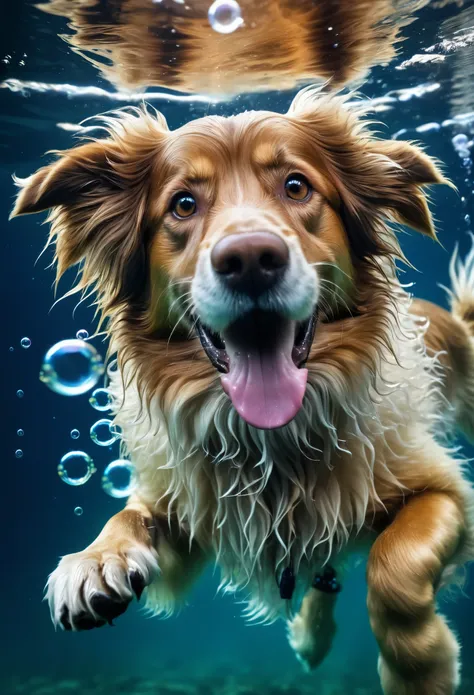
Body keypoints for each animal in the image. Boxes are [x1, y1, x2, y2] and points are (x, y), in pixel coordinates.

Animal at [9, 88, 474, 695]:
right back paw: (310, 636)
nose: (251, 258)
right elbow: (129, 515)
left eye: (296, 186)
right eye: (183, 204)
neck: (272, 439)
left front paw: (421, 667)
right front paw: (93, 561)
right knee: (324, 571)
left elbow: (394, 563)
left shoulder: (445, 494)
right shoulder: (186, 507)